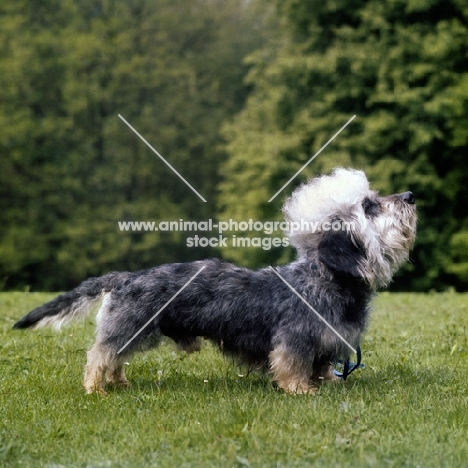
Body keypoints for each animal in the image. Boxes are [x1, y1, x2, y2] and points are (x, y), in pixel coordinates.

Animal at [13, 168, 416, 394]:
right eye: (369, 206)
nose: (410, 195)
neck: (328, 280)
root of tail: (127, 277)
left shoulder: (328, 342)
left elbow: (321, 365)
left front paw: (328, 383)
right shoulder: (295, 339)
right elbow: (291, 365)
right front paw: (300, 390)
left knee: (114, 358)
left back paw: (118, 383)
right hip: (129, 327)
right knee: (100, 354)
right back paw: (96, 388)